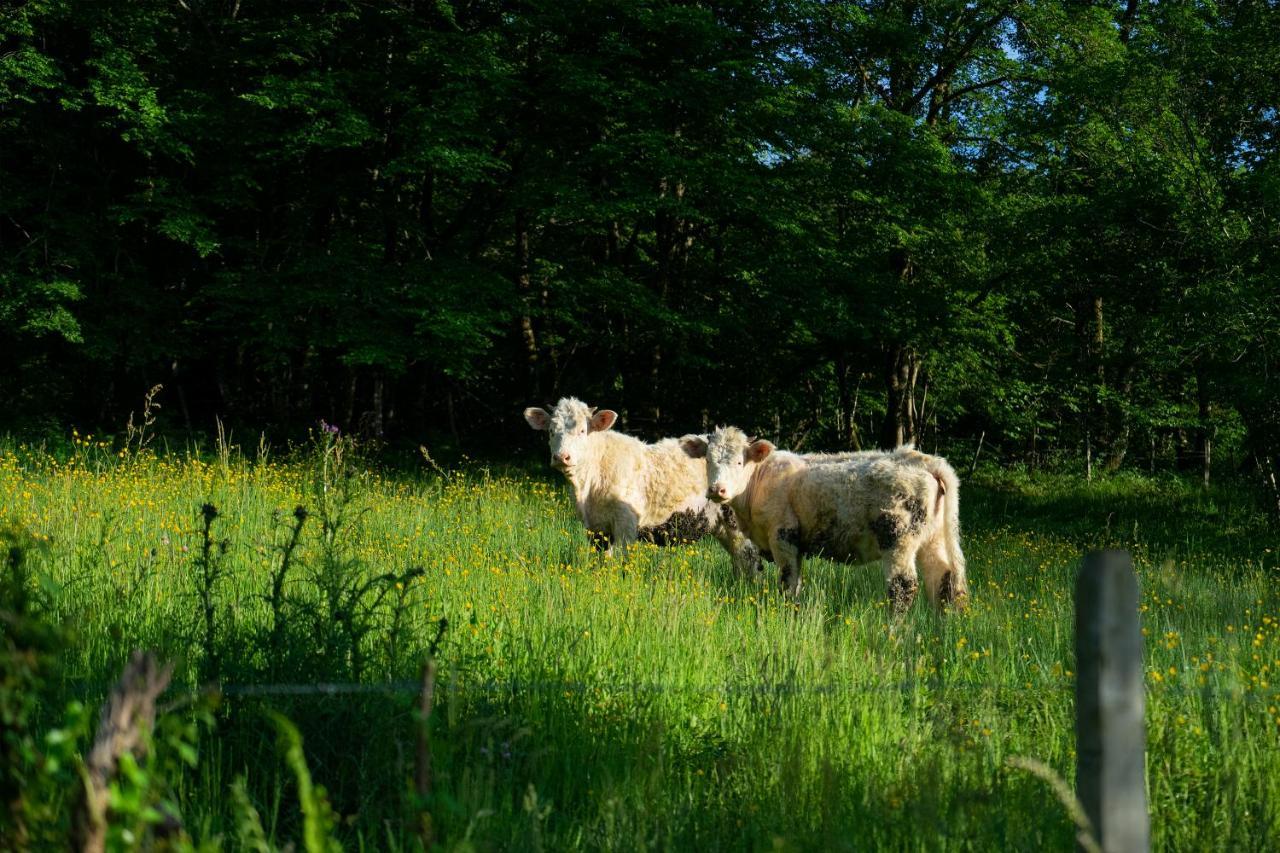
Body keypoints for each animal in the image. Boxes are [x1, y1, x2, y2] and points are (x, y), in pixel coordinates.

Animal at [527, 394, 762, 573]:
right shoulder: (595, 528)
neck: (588, 487)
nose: (561, 457)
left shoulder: (626, 523)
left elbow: (620, 560)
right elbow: (601, 561)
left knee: (749, 557)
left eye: (582, 431)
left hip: (737, 522)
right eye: (551, 431)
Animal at [680, 425, 967, 612]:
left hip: (898, 539)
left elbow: (787, 581)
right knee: (944, 583)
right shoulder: (797, 545)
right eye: (707, 460)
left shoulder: (783, 537)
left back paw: (893, 634)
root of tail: (922, 459)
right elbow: (796, 583)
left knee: (903, 587)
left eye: (739, 463)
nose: (717, 490)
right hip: (932, 539)